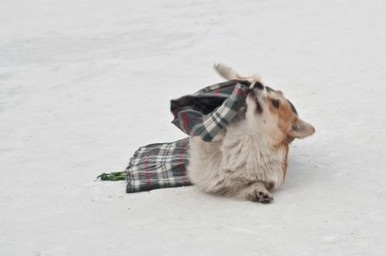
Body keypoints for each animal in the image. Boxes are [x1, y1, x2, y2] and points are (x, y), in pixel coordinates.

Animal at [188, 64, 316, 204]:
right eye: (267, 92)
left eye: (275, 103)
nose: (259, 85)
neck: (249, 137)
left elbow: (255, 184)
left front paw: (260, 192)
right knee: (245, 77)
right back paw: (222, 69)